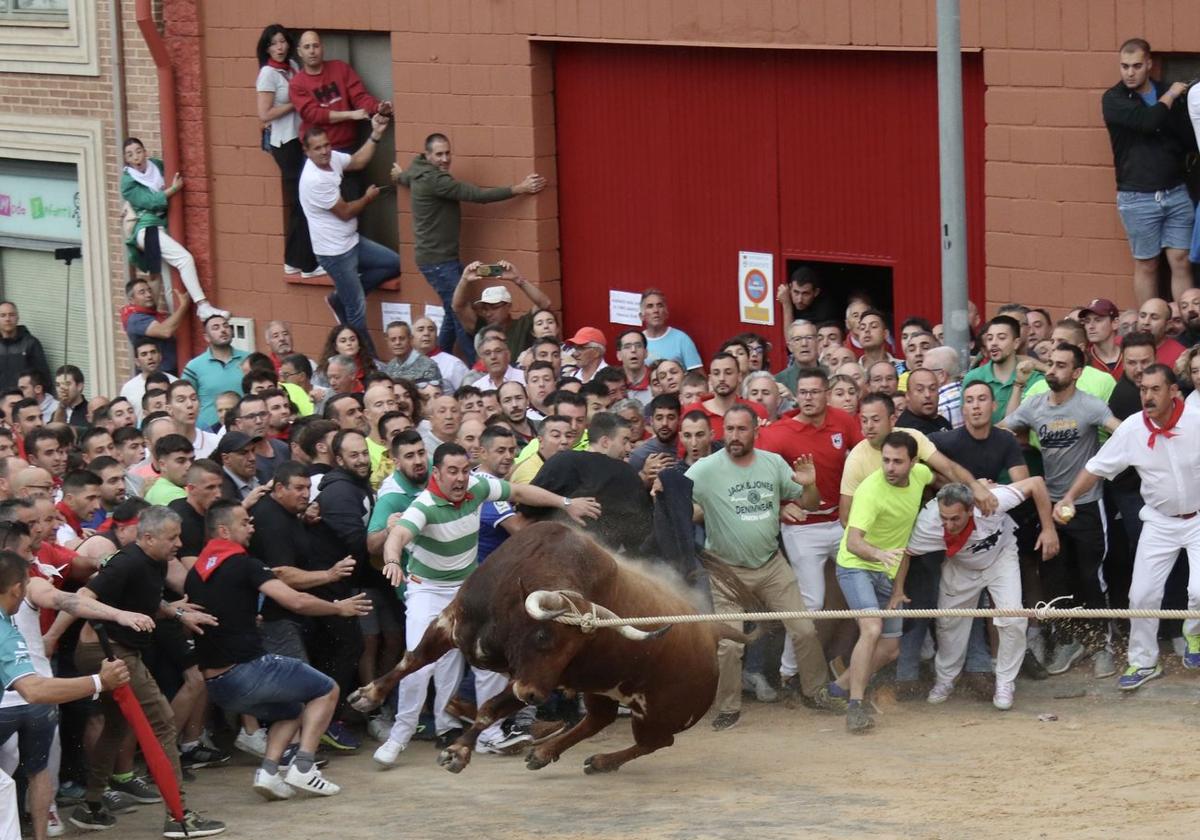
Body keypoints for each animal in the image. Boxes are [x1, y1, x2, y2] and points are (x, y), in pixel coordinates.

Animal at [348, 525, 720, 772]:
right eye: (542, 636)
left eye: (580, 647)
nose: (535, 698)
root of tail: (713, 644)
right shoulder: (451, 622)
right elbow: (412, 660)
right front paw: (367, 695)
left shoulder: (531, 678)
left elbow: (489, 709)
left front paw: (457, 752)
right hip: (602, 690)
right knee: (599, 719)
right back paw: (546, 754)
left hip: (656, 714)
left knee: (654, 741)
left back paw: (601, 760)